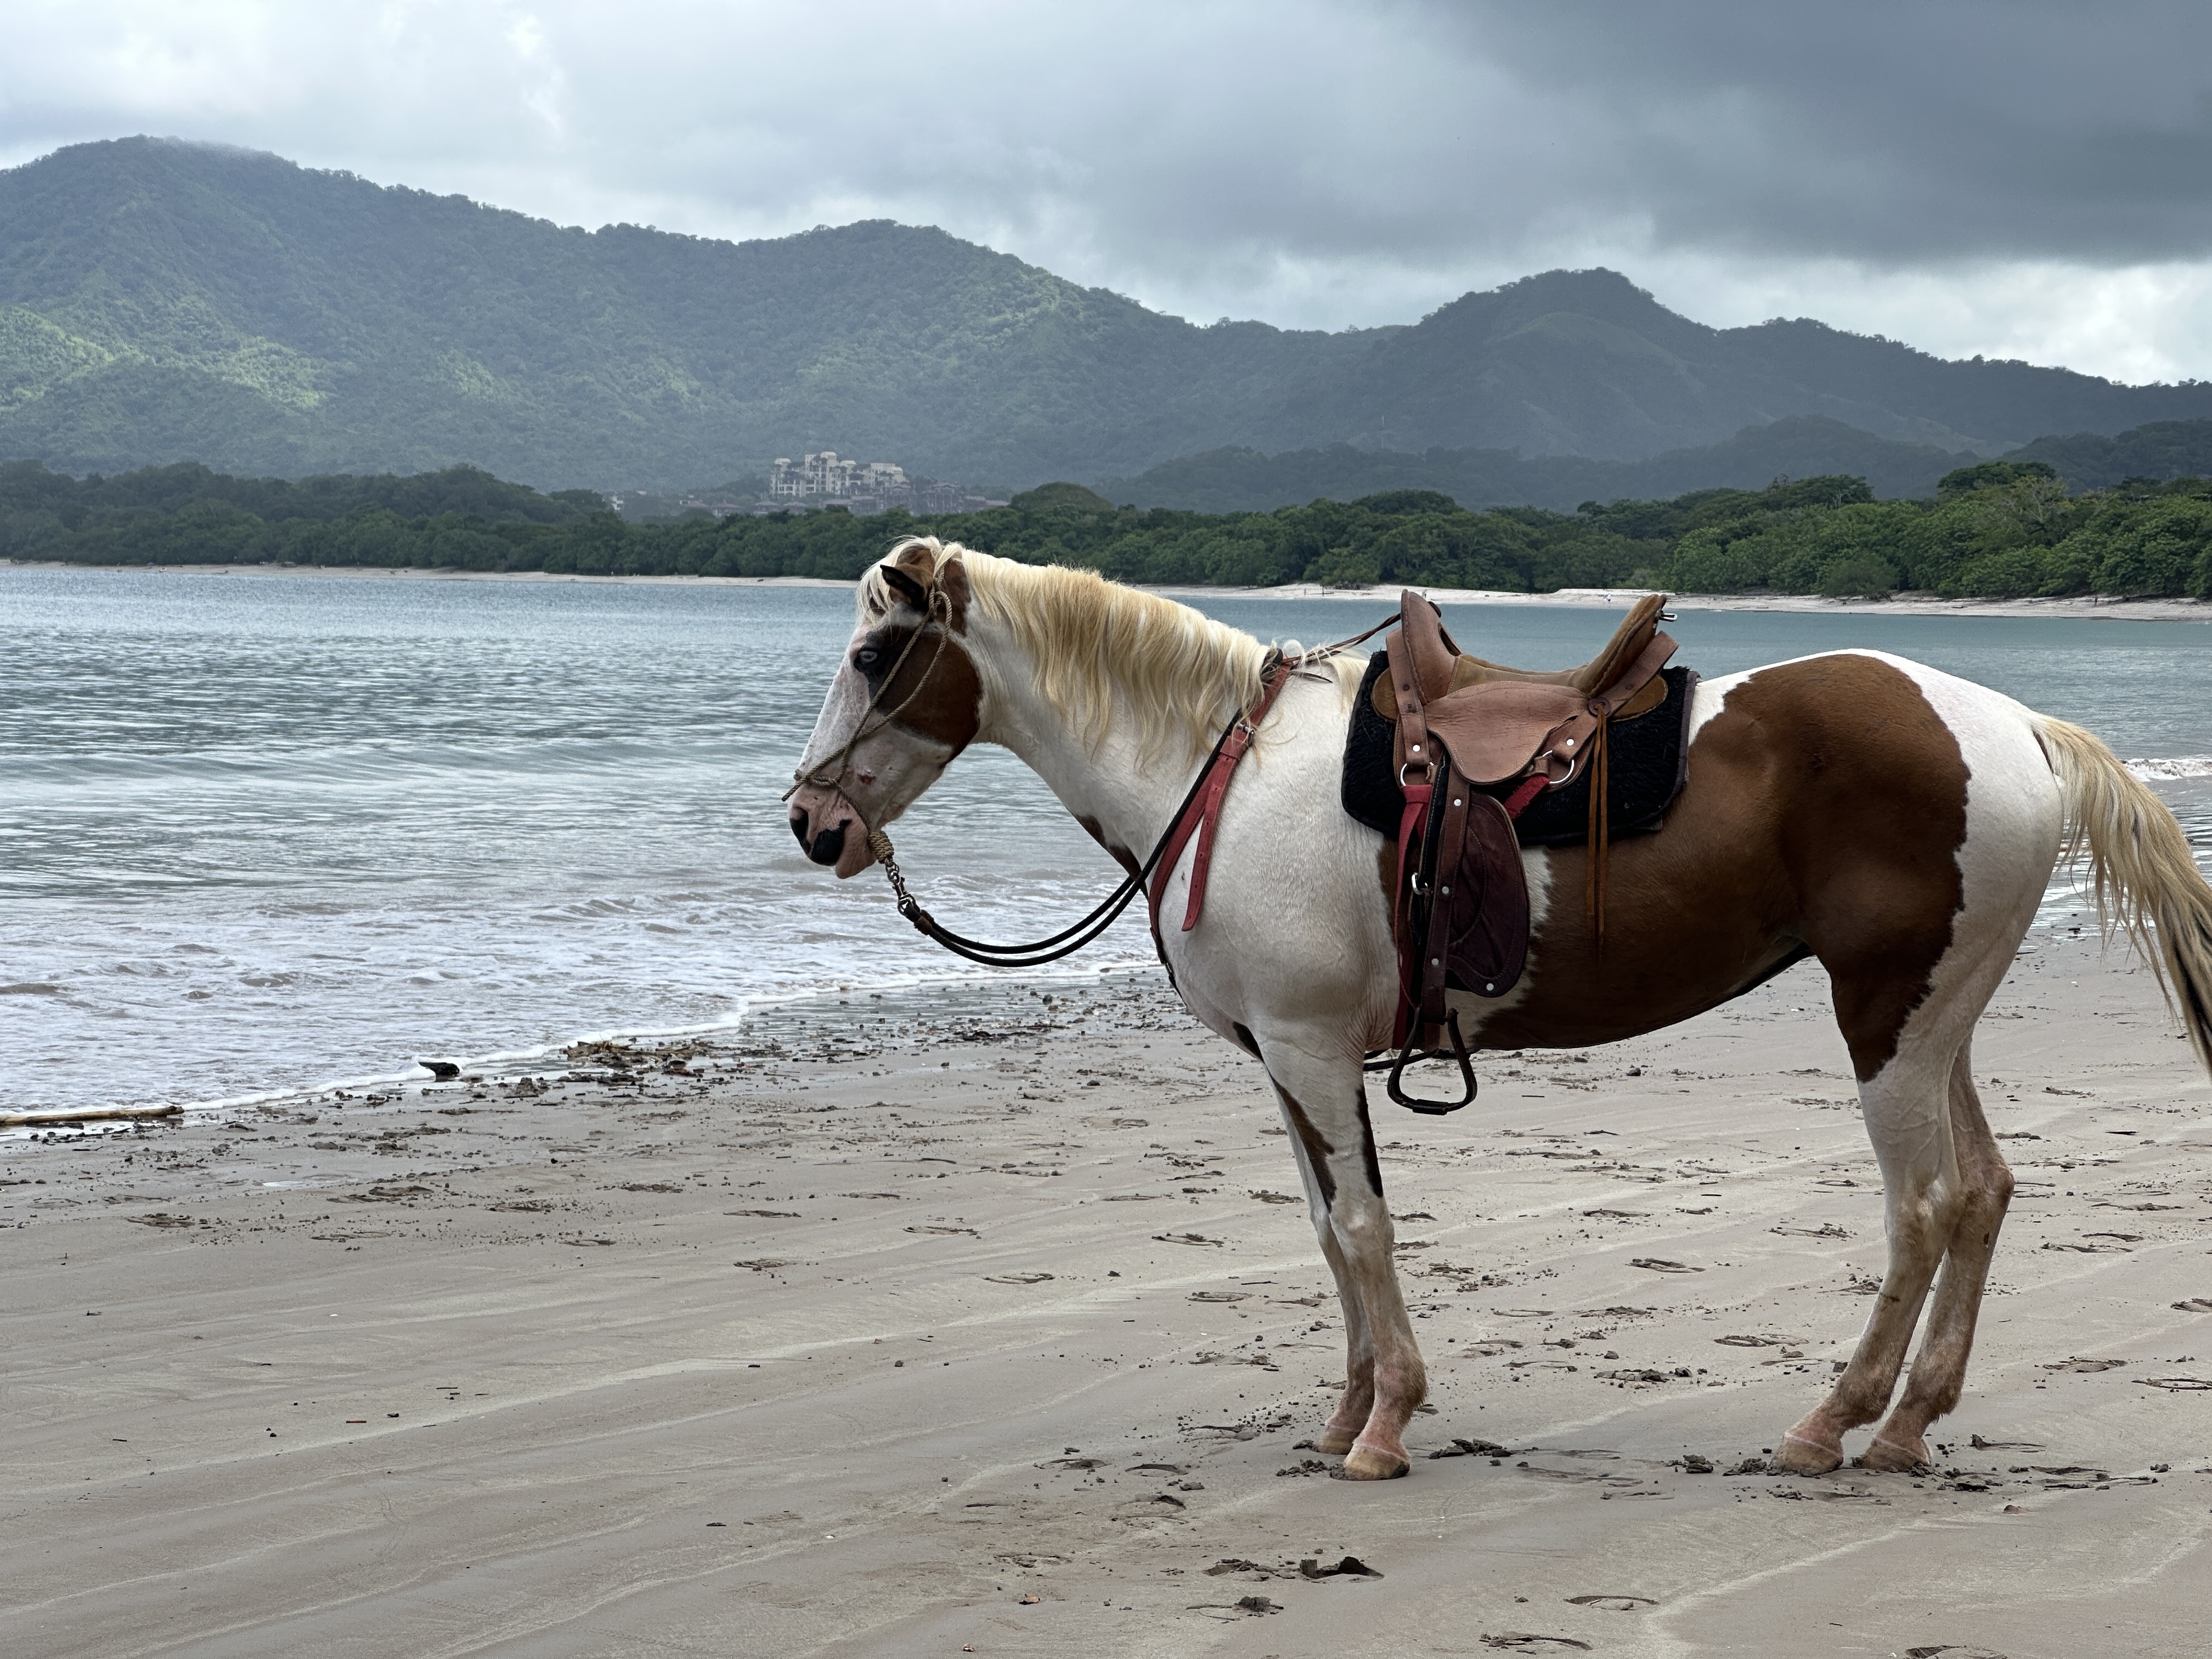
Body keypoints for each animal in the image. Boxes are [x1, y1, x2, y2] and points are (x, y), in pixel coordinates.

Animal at [787, 535, 2212, 1482]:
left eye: (871, 652)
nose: (812, 824)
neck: (1224, 774)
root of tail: (2017, 727)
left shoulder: (1311, 1049)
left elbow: (1364, 1231)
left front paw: (1385, 1428)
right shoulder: (1286, 1062)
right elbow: (1327, 1233)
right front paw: (1346, 1411)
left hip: (1888, 1021)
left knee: (1922, 1207)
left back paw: (1834, 1422)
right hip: (1935, 1019)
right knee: (1982, 1193)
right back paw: (1910, 1423)